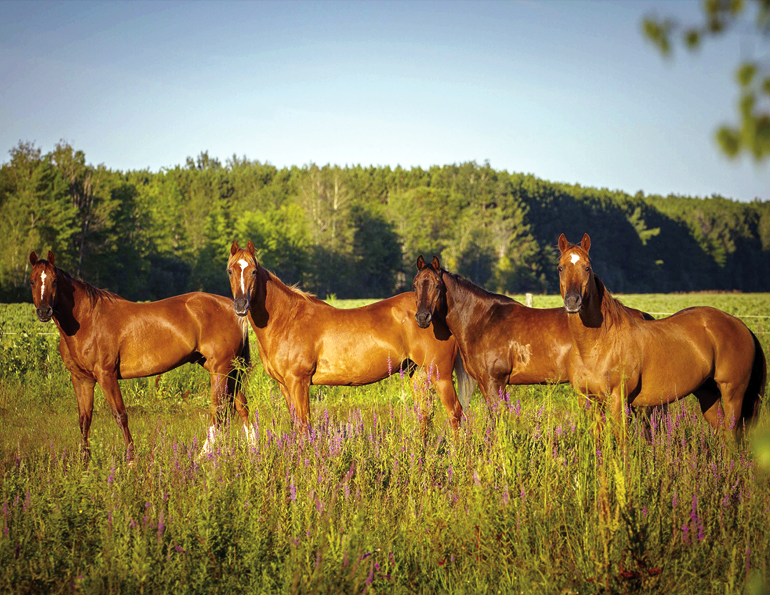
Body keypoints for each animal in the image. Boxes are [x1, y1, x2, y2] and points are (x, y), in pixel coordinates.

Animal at [28, 250, 252, 461]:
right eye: (32, 280)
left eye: (54, 280)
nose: (43, 311)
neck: (88, 320)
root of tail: (234, 308)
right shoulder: (82, 379)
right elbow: (84, 420)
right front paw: (84, 461)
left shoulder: (106, 375)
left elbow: (120, 415)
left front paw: (131, 459)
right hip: (228, 370)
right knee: (240, 406)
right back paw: (251, 449)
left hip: (220, 371)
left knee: (220, 411)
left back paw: (203, 455)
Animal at [226, 240, 474, 430]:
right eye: (230, 270)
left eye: (253, 271)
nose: (241, 305)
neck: (287, 320)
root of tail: (432, 312)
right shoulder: (284, 385)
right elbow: (296, 425)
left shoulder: (299, 382)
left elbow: (305, 426)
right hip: (420, 374)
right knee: (425, 416)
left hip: (441, 376)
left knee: (455, 414)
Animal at [412, 255, 655, 404]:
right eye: (415, 285)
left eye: (437, 286)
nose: (422, 317)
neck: (483, 320)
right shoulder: (485, 383)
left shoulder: (494, 383)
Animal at [557, 233, 765, 438]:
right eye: (560, 268)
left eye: (587, 268)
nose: (572, 301)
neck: (598, 345)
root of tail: (739, 324)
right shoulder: (589, 400)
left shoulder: (617, 400)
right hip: (708, 395)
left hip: (732, 393)